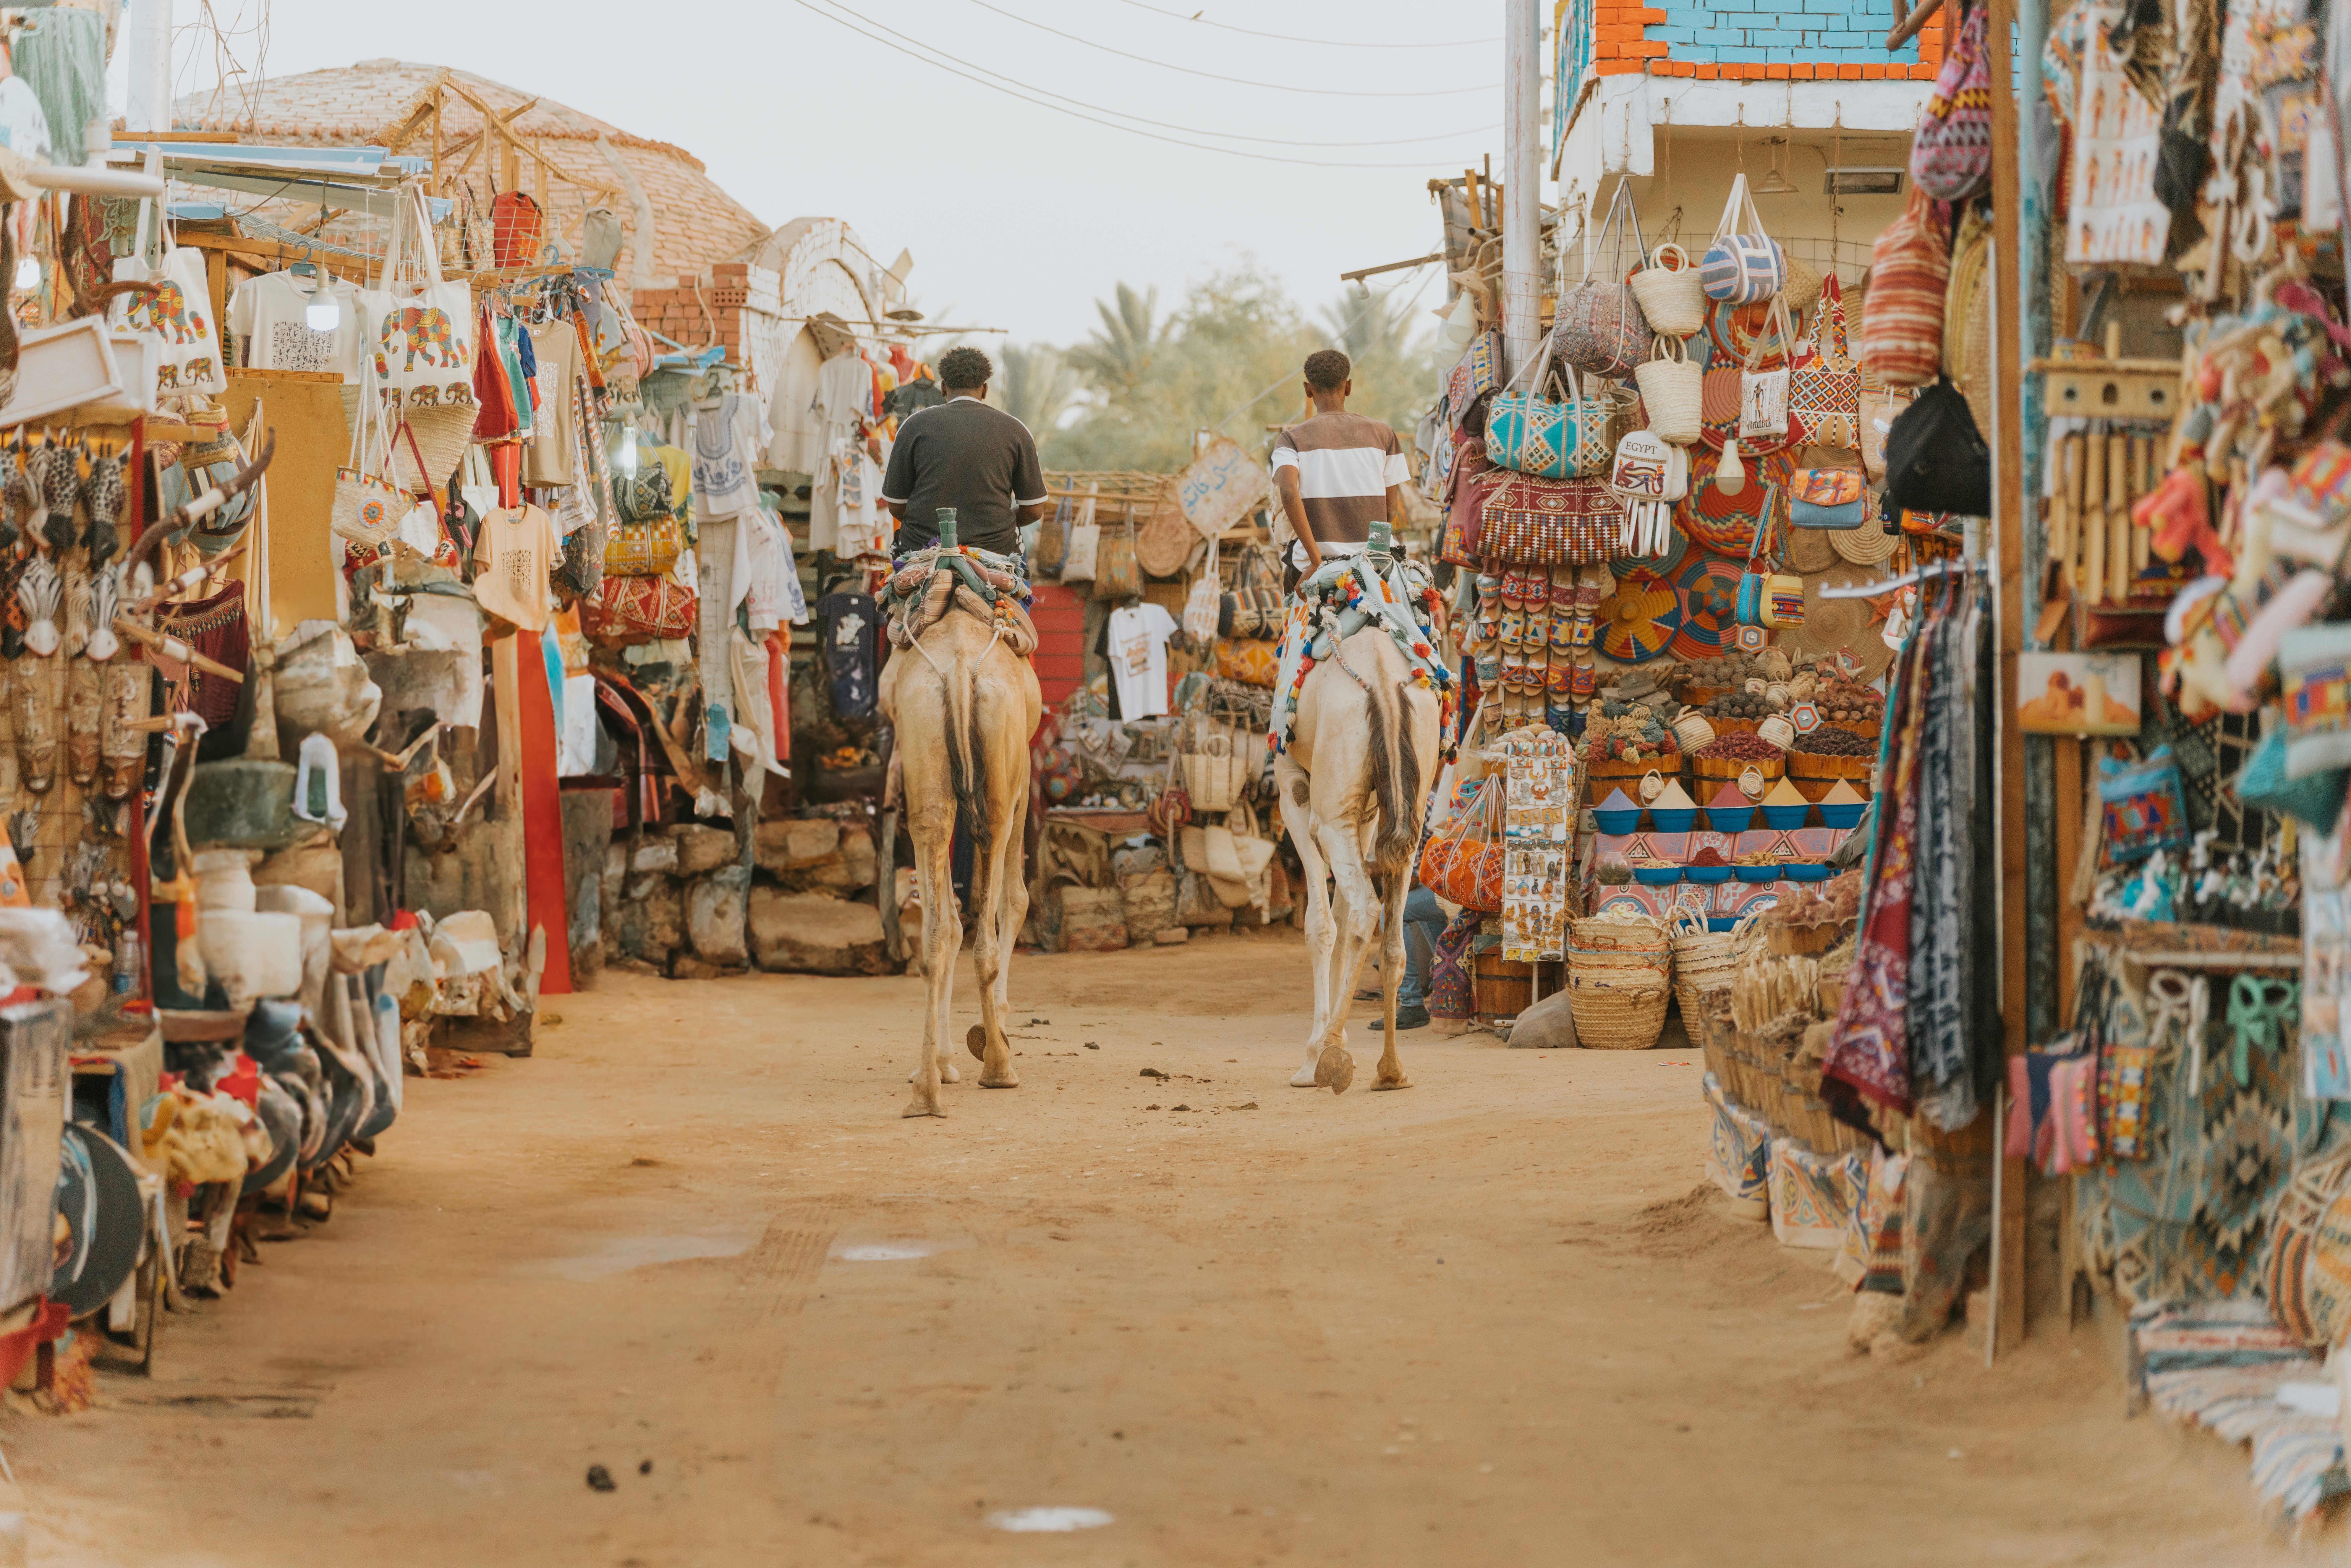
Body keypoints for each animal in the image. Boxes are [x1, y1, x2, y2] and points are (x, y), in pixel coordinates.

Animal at [878, 607, 1042, 1118]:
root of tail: (956, 671)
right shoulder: (1023, 777)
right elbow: (1015, 899)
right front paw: (995, 1034)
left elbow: (947, 919)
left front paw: (944, 1061)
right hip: (999, 790)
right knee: (984, 932)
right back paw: (998, 1068)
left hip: (927, 772)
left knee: (938, 932)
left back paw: (927, 1092)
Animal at [1272, 624, 1442, 1095]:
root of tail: (1383, 686)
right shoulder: (1363, 814)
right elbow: (1342, 920)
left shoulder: (1294, 791)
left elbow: (1321, 924)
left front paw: (1313, 1054)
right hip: (1407, 815)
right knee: (1392, 939)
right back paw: (1391, 1071)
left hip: (1332, 813)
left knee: (1366, 909)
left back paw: (1328, 1055)